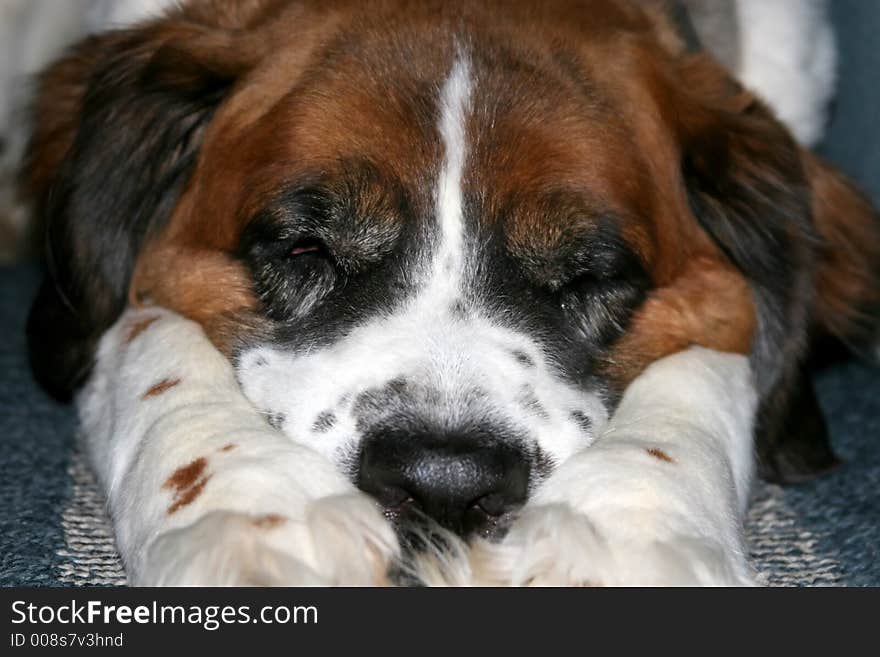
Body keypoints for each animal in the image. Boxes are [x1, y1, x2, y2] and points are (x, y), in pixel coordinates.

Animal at [20, 0, 880, 584]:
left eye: (587, 279)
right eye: (307, 249)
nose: (444, 484)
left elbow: (714, 354)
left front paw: (622, 530)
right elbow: (145, 335)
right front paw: (251, 512)